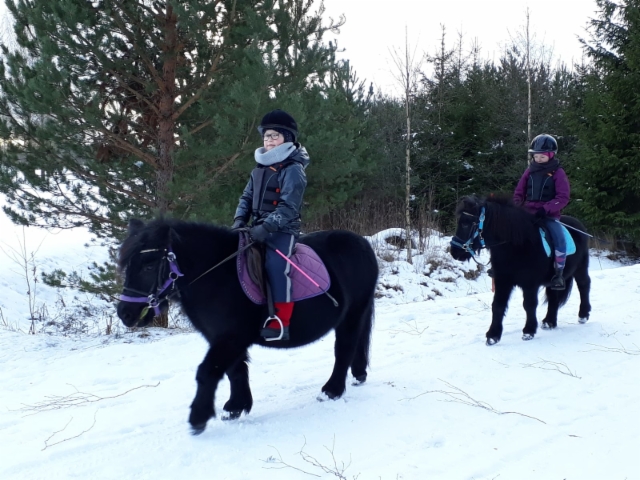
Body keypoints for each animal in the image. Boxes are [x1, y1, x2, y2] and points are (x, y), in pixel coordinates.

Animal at [115, 219, 378, 434]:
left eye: (149, 265)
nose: (125, 313)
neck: (217, 276)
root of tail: (362, 243)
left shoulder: (231, 337)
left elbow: (207, 372)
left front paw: (198, 418)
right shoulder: (222, 338)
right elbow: (235, 370)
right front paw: (236, 407)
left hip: (353, 313)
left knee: (344, 348)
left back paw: (332, 390)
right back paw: (358, 374)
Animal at [450, 195, 592, 344]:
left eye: (466, 224)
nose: (454, 251)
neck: (517, 245)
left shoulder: (530, 284)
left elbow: (529, 305)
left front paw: (528, 331)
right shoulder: (502, 281)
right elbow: (497, 305)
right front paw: (493, 335)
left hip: (581, 268)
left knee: (584, 285)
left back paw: (583, 315)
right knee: (553, 295)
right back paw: (549, 322)